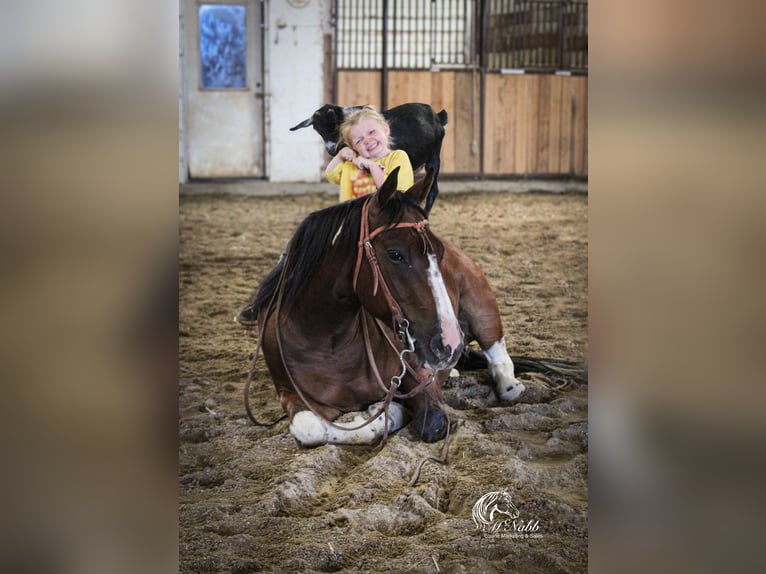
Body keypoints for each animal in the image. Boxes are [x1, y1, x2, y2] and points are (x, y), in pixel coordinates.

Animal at [246, 168, 525, 446]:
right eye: (395, 254)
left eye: (439, 251)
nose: (450, 343)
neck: (327, 341)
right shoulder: (290, 393)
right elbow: (310, 428)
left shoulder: (421, 377)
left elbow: (428, 423)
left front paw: (387, 411)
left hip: (481, 306)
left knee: (497, 354)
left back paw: (510, 386)